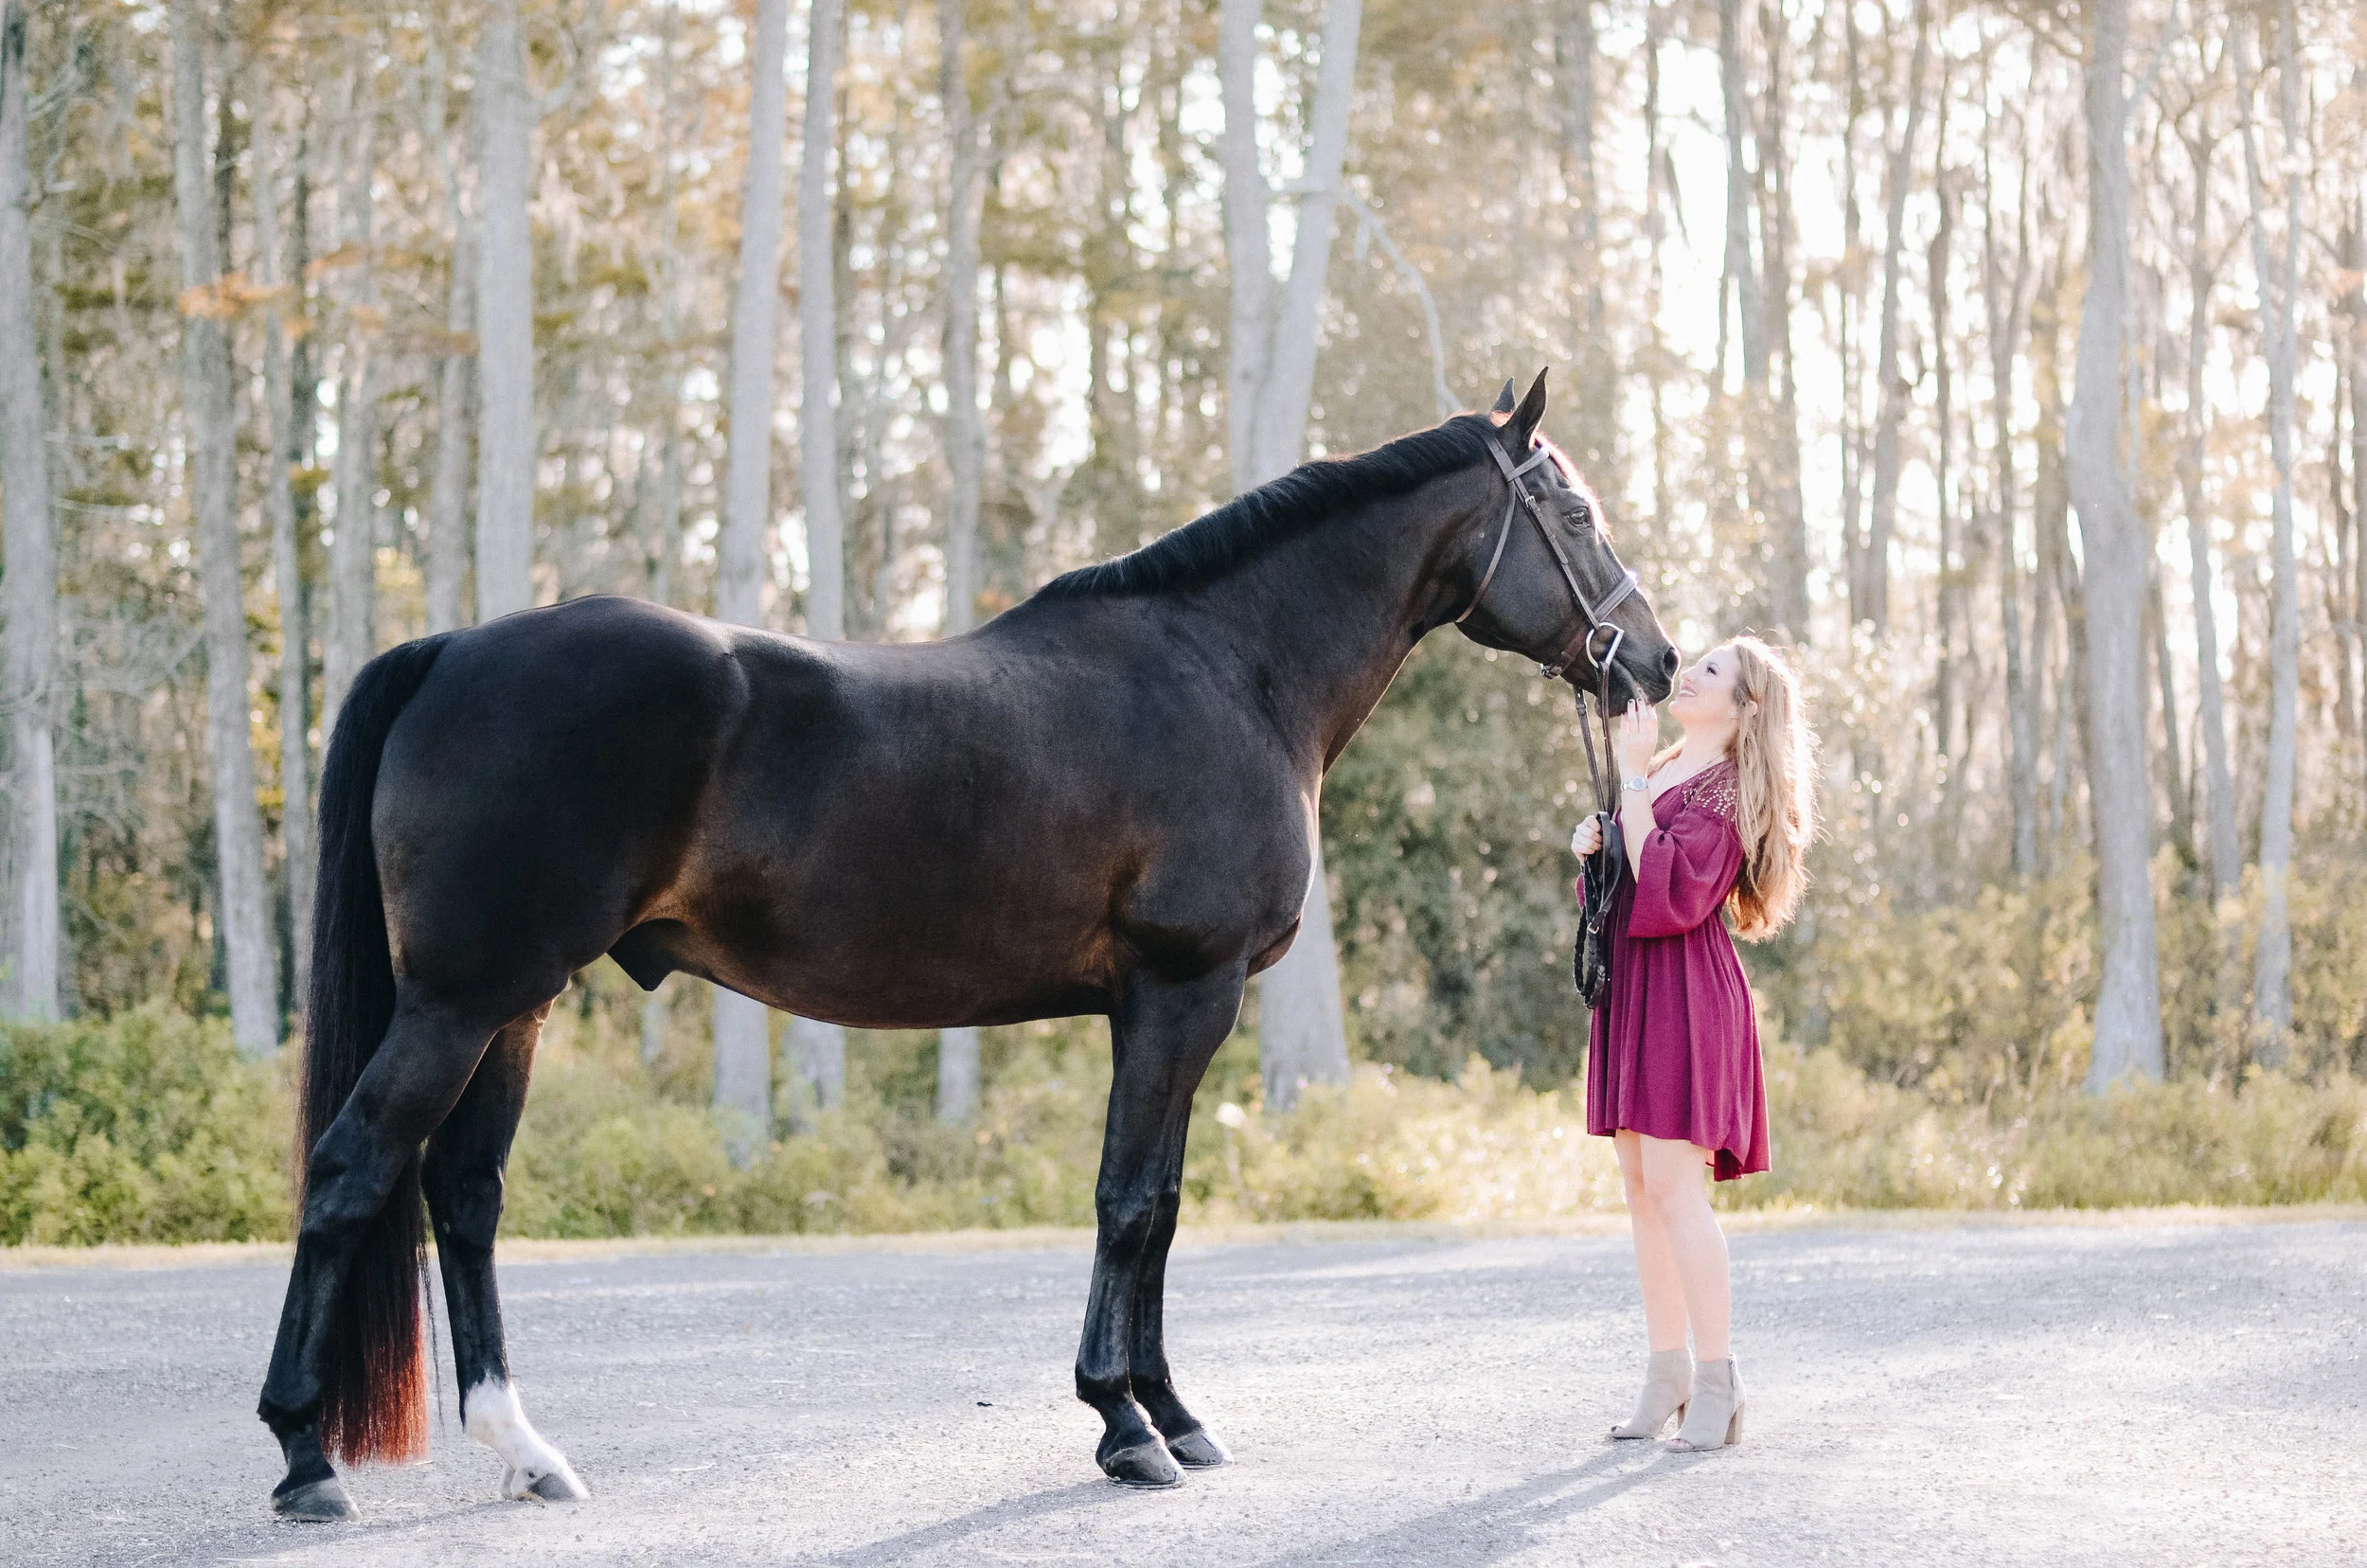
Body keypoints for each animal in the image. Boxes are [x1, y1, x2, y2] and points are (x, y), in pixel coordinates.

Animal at [256, 370, 1677, 1519]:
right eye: (1577, 514)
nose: (1653, 660)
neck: (1231, 670)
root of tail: (453, 648)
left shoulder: (1156, 1007)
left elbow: (1158, 1207)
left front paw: (1171, 1415)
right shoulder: (1184, 991)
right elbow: (1130, 1201)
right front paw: (1124, 1425)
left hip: (515, 1005)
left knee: (464, 1194)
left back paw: (523, 1451)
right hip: (460, 1002)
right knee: (351, 1172)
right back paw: (305, 1459)